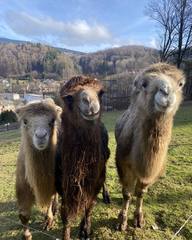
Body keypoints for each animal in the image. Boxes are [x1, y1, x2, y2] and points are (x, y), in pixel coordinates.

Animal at [15, 98, 61, 239]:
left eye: (52, 121)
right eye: (25, 121)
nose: (41, 136)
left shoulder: (49, 182)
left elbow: (49, 199)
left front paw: (48, 221)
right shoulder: (22, 186)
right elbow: (23, 215)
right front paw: (26, 235)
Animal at [54, 76, 110, 239]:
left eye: (101, 93)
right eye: (68, 98)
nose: (90, 103)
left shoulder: (93, 181)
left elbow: (89, 205)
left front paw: (85, 230)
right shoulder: (64, 184)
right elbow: (66, 215)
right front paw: (66, 235)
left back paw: (106, 196)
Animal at [115, 63, 185, 231]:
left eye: (181, 83)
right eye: (144, 83)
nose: (166, 92)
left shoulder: (154, 171)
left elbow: (141, 192)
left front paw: (138, 219)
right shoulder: (123, 164)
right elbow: (126, 193)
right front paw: (121, 221)